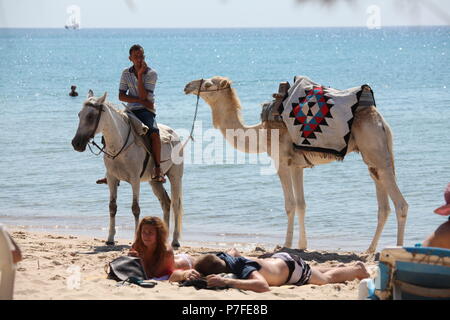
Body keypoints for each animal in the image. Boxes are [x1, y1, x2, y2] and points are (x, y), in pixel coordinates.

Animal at [71, 90, 184, 248]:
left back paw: (175, 241)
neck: (119, 145)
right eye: (79, 114)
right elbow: (112, 207)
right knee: (166, 203)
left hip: (175, 177)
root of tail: (175, 135)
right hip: (155, 181)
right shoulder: (111, 178)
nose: (76, 143)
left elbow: (135, 209)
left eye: (91, 116)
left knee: (175, 205)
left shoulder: (135, 179)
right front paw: (110, 238)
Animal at [185, 75, 410, 252]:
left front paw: (286, 243)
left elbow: (290, 204)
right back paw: (370, 250)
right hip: (373, 159)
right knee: (383, 206)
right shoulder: (296, 166)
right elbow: (302, 204)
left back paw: (395, 249)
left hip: (376, 150)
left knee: (401, 204)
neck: (261, 133)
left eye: (208, 84)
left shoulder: (281, 162)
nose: (187, 86)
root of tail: (381, 122)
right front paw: (302, 245)